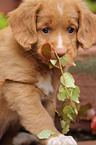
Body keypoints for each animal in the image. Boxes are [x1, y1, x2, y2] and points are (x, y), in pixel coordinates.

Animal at [0, 0, 95, 144]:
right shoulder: (19, 85)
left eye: (71, 30)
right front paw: (57, 138)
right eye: (45, 30)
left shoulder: (49, 94)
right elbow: (39, 116)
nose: (60, 53)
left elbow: (48, 114)